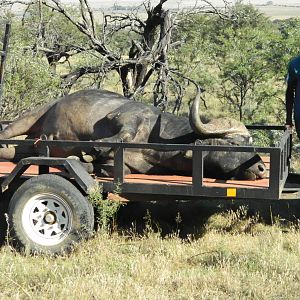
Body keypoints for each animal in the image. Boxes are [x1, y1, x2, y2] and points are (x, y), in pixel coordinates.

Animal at [0, 89, 266, 180]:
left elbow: (107, 167)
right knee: (7, 131)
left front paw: (87, 160)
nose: (262, 168)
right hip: (31, 116)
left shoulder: (130, 167)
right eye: (235, 143)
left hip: (28, 145)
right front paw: (93, 148)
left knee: (15, 151)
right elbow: (123, 134)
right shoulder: (125, 118)